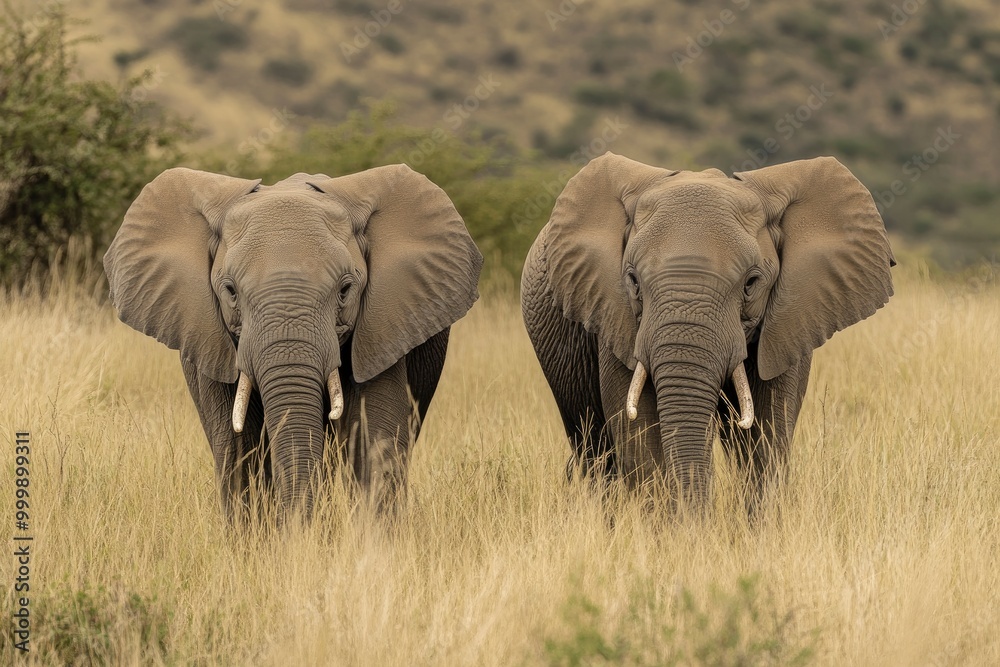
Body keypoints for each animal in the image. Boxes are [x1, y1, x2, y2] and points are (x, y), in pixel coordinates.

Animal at [104, 165, 483, 523]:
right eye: (230, 291)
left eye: (345, 290)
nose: (299, 529)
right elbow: (239, 451)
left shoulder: (383, 330)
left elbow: (372, 441)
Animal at [520, 152, 894, 515]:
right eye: (633, 281)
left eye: (751, 283)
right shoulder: (615, 317)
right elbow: (640, 434)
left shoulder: (789, 321)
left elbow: (767, 433)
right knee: (595, 451)